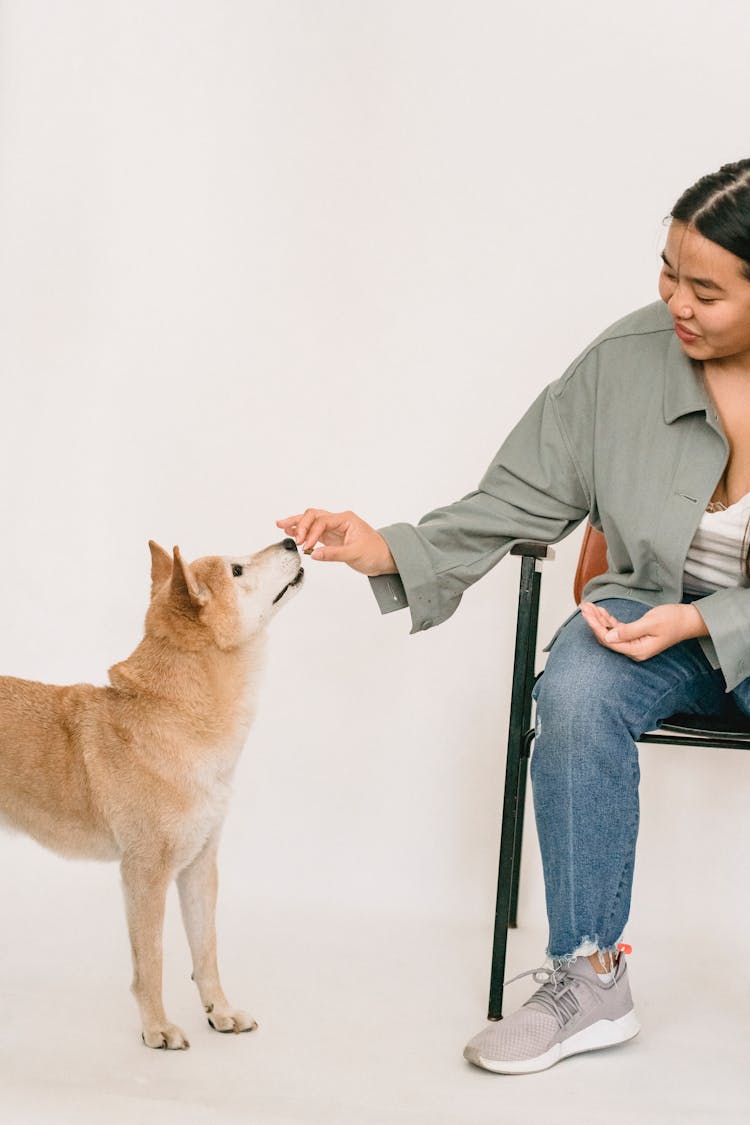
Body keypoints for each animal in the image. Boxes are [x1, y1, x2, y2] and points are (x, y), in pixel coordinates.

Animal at [0, 535, 305, 1044]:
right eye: (237, 570)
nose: (291, 539)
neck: (173, 717)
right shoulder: (145, 872)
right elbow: (153, 960)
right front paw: (157, 1028)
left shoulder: (200, 866)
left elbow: (206, 950)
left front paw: (220, 1012)